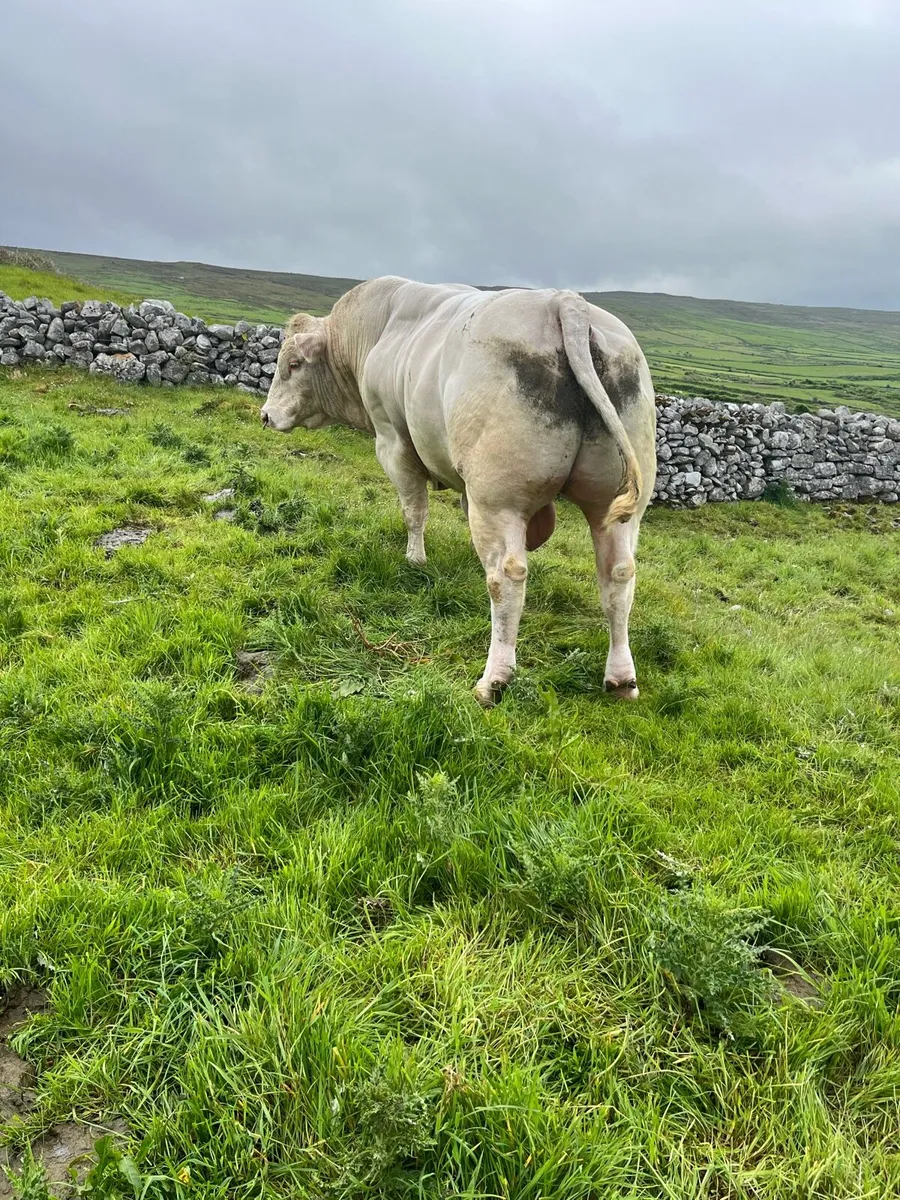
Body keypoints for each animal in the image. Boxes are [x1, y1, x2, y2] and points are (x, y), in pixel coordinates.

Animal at [261, 277, 657, 706]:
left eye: (292, 364)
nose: (265, 415)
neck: (371, 334)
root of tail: (564, 303)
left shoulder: (393, 442)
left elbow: (414, 510)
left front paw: (415, 559)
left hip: (499, 499)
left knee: (507, 577)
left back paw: (494, 680)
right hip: (616, 507)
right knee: (618, 574)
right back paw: (621, 678)